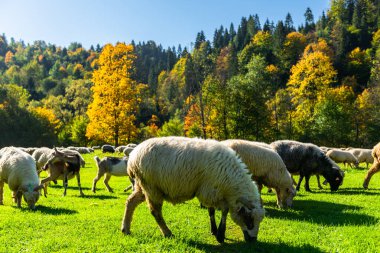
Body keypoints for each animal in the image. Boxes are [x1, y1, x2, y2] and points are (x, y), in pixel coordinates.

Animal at [121, 137, 264, 244]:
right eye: (249, 220)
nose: (253, 240)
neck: (231, 183)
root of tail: (133, 157)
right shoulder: (210, 190)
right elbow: (224, 210)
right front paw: (220, 235)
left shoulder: (209, 191)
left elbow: (211, 210)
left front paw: (214, 231)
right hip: (151, 186)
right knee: (155, 212)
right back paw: (167, 233)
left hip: (142, 185)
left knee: (130, 201)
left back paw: (125, 229)